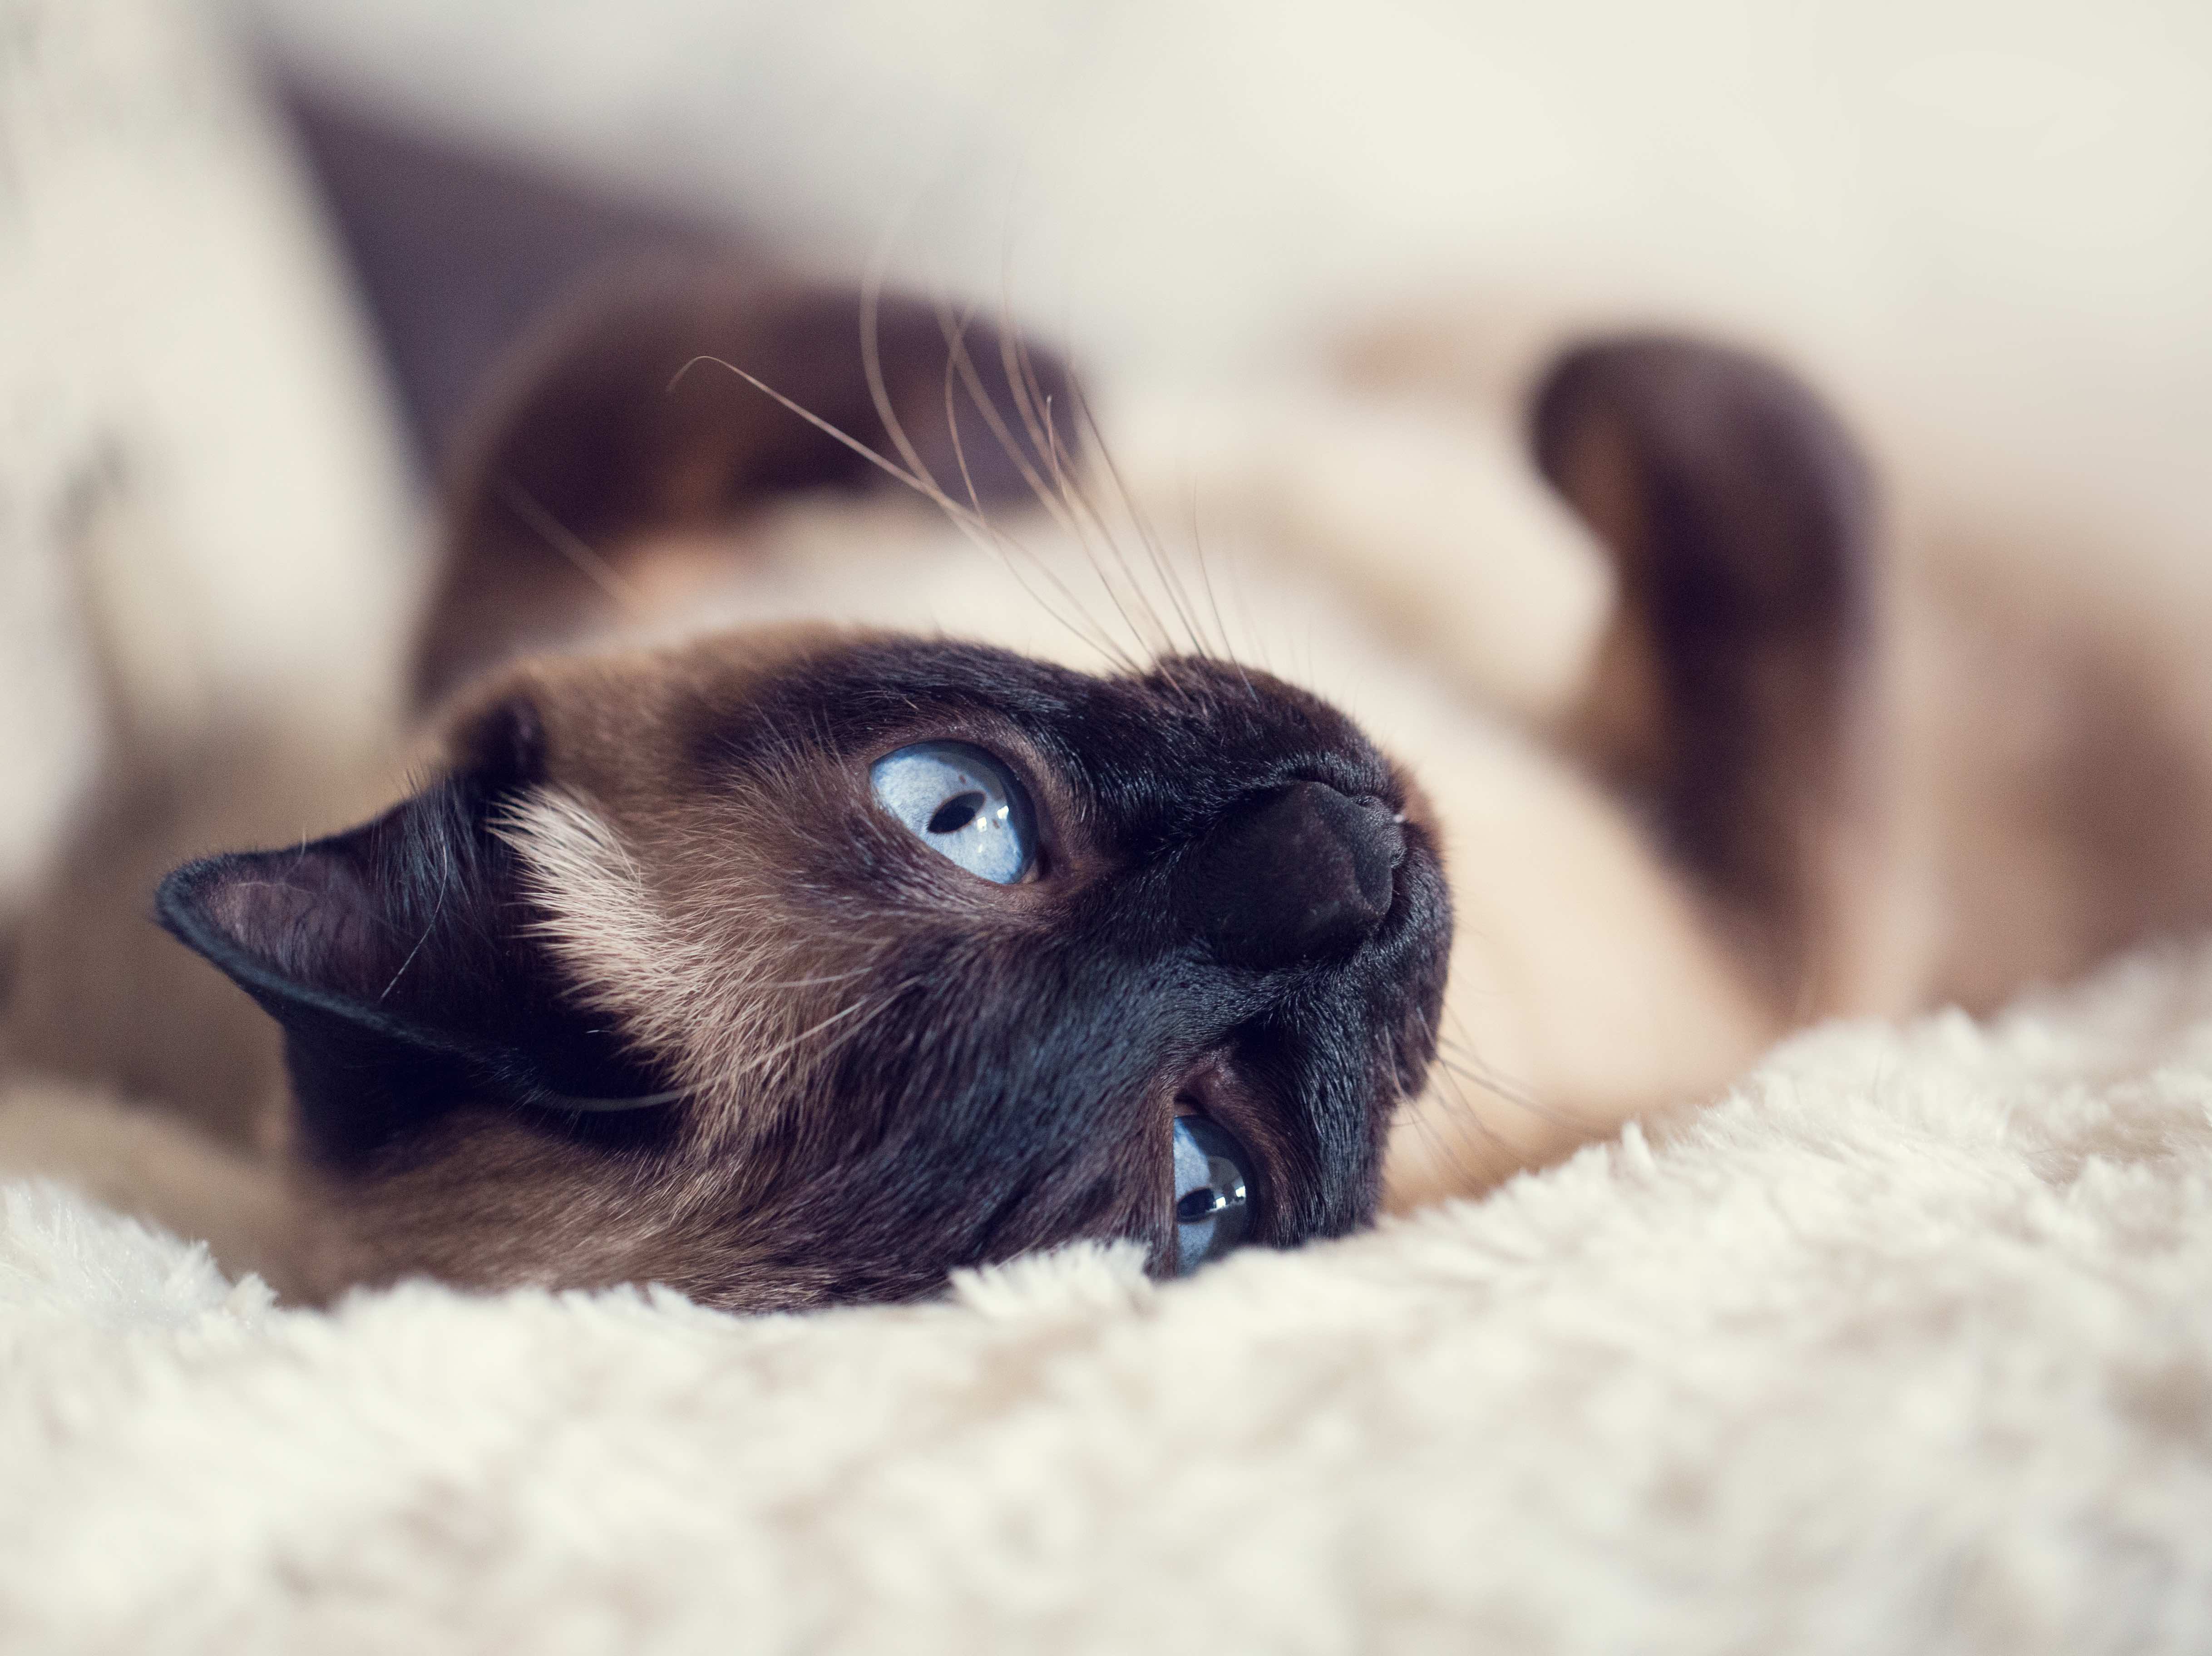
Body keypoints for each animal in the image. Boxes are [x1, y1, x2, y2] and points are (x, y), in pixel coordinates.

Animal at [9, 258, 2203, 1309]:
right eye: (1203, 1179)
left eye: (953, 814)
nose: (1345, 861)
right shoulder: (1778, 925)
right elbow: (1719, 447)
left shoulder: (504, 595)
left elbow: (626, 368)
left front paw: (1020, 406)